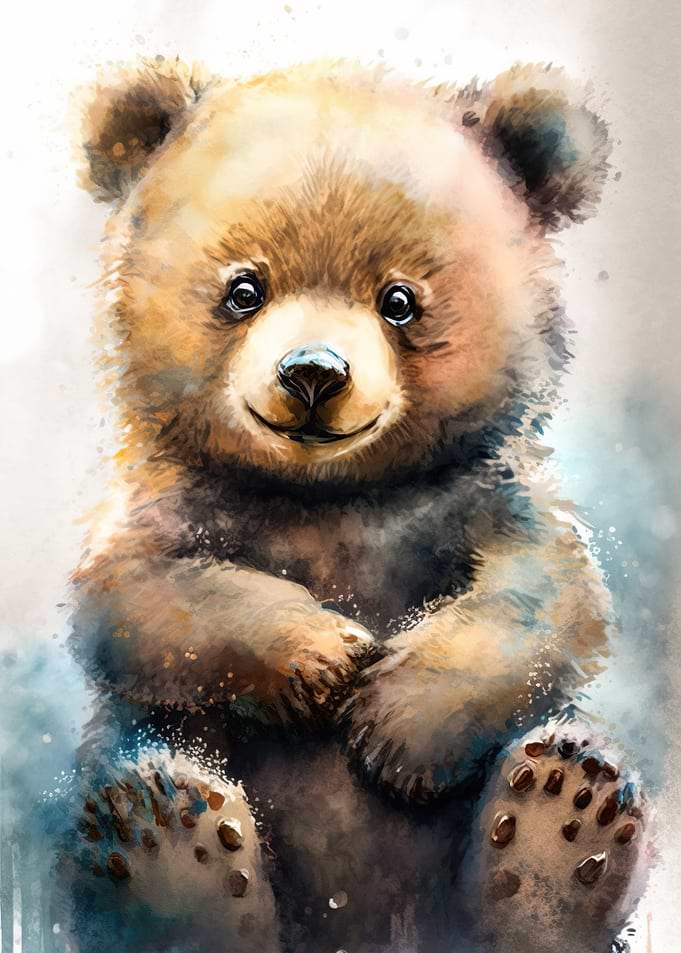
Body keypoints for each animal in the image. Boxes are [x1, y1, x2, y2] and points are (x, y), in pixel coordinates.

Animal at [57, 56, 652, 953]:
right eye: (244, 288)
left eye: (398, 299)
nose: (312, 372)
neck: (330, 495)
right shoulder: (185, 501)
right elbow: (135, 595)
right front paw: (322, 655)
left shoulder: (470, 495)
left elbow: (545, 595)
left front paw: (393, 720)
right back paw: (174, 844)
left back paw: (559, 820)